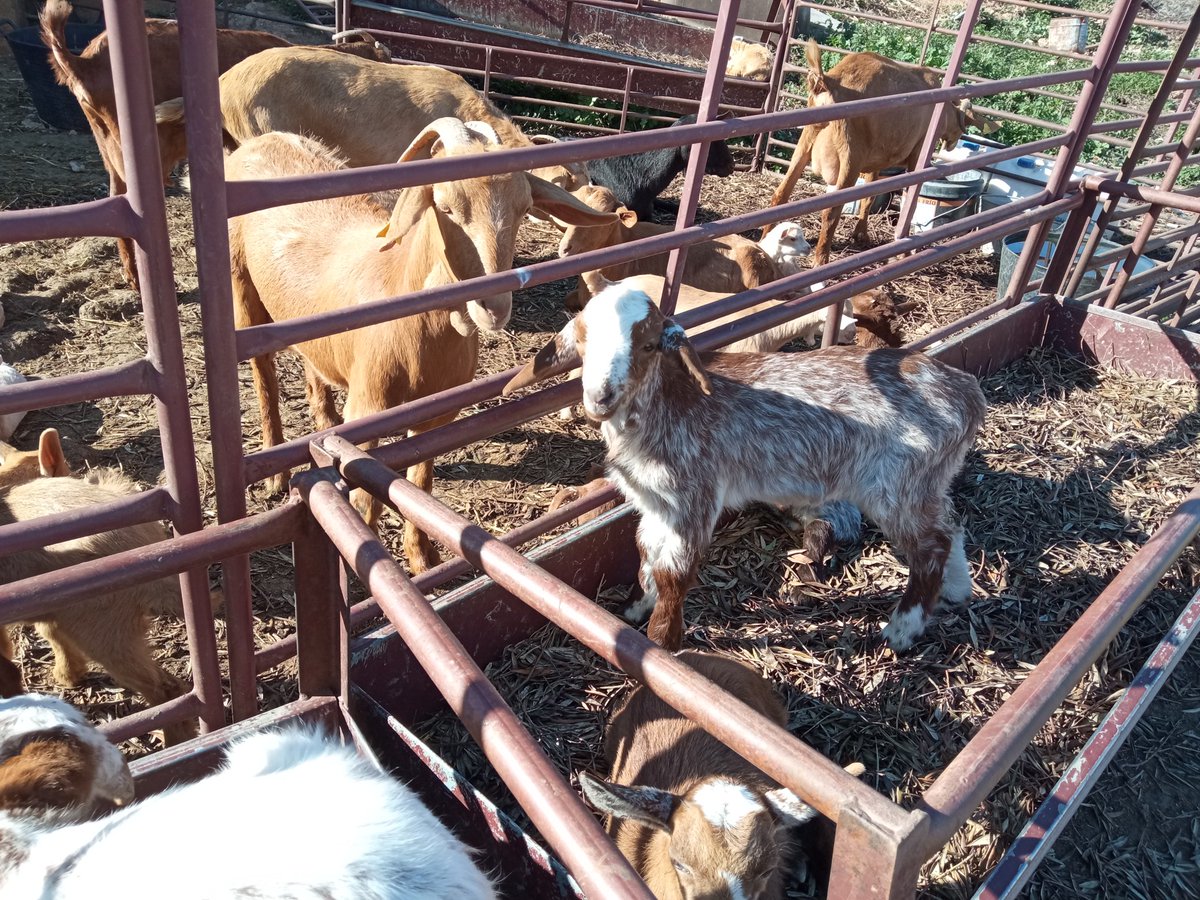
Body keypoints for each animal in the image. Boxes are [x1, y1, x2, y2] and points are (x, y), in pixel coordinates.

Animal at [226, 125, 613, 571]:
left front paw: (423, 558)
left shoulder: (436, 414)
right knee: (263, 372)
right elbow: (367, 501)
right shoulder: (368, 410)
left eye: (523, 210)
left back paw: (324, 418)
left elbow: (421, 485)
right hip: (243, 287)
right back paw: (273, 471)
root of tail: (264, 139)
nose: (493, 306)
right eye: (444, 207)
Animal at [505, 282, 984, 651]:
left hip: (896, 485)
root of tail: (967, 392)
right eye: (583, 341)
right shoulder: (656, 504)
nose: (600, 398)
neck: (668, 404)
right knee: (950, 527)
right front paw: (637, 607)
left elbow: (674, 573)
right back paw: (957, 591)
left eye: (648, 344)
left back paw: (902, 630)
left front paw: (662, 647)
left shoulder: (693, 497)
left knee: (930, 547)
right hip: (928, 483)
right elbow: (646, 554)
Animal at [769, 40, 998, 267]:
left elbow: (869, 197)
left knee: (781, 195)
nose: (952, 144)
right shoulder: (917, 155)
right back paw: (821, 260)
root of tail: (829, 82)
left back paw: (769, 239)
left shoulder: (875, 161)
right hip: (851, 157)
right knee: (831, 210)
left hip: (806, 140)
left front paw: (861, 234)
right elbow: (909, 198)